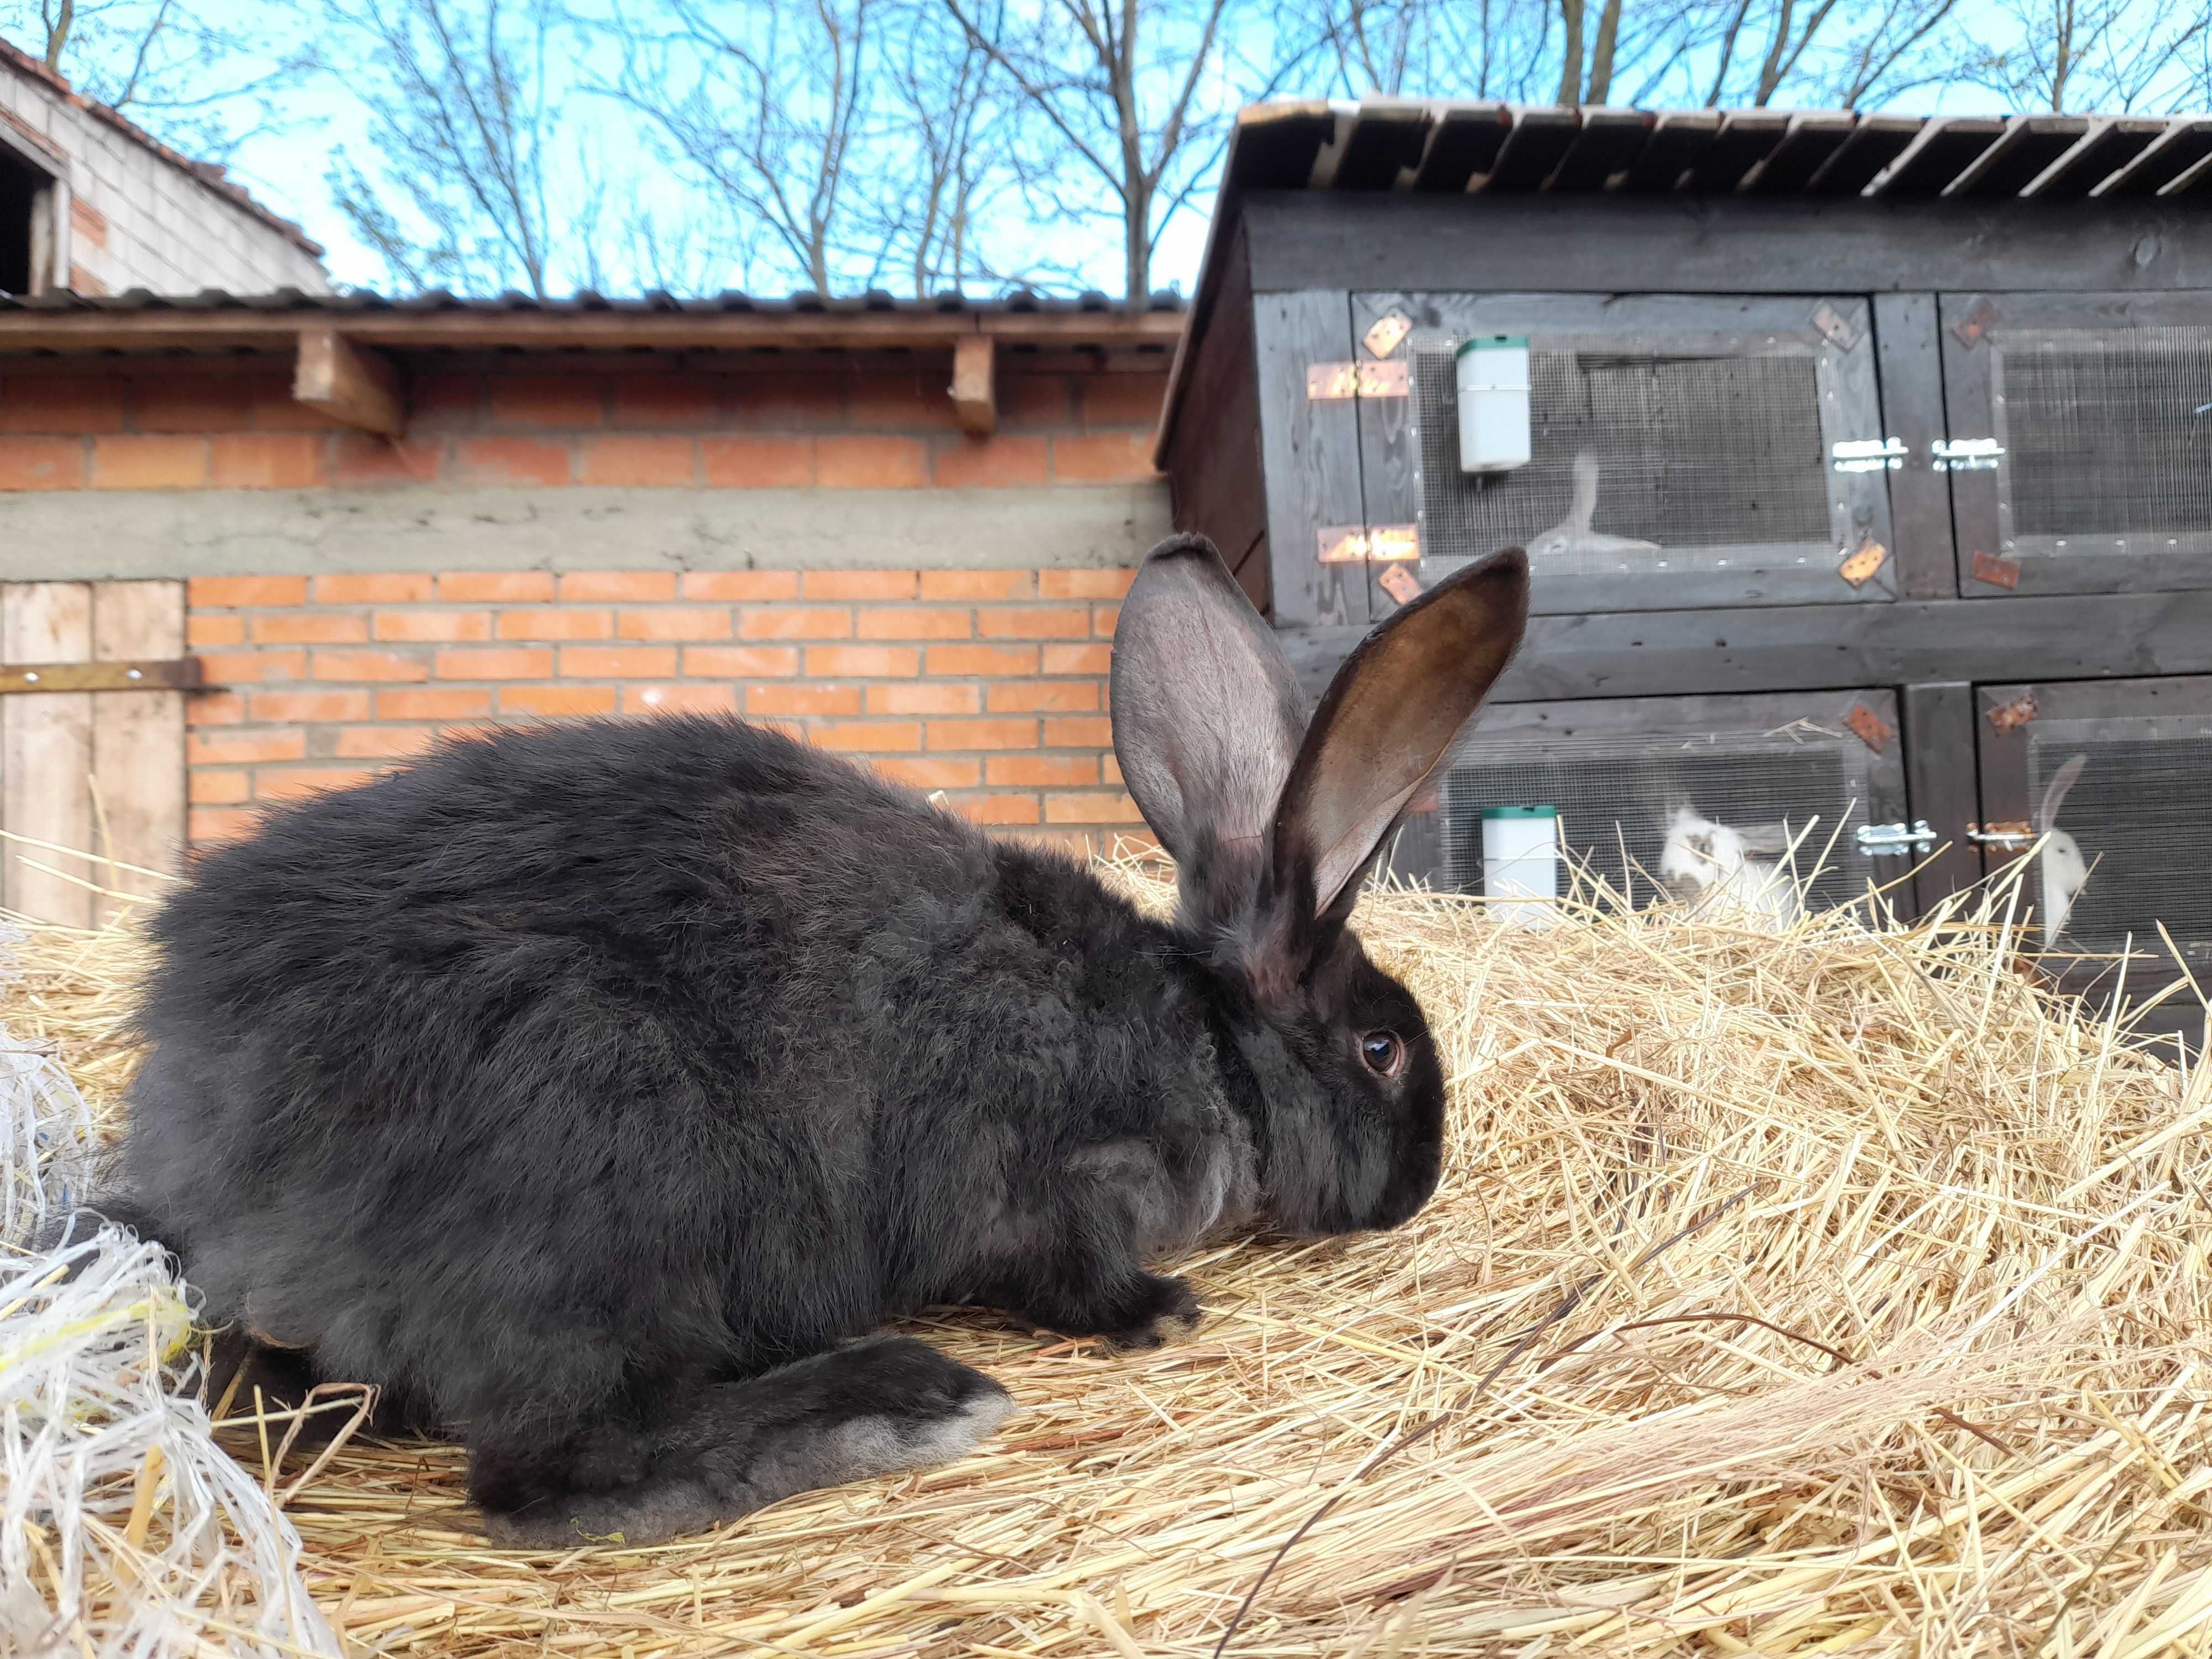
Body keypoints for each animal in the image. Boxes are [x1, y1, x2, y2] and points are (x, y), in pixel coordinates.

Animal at [100, 540, 1522, 1557]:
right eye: (1384, 1050)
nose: (1417, 1190)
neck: (1212, 1048)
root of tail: (215, 1173)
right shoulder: (1056, 1185)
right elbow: (1071, 1277)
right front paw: (1161, 1313)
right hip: (603, 1170)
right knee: (549, 1475)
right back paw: (902, 1405)